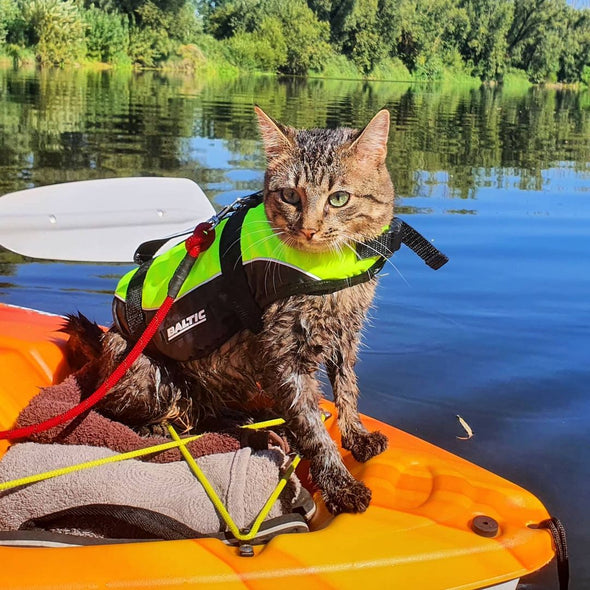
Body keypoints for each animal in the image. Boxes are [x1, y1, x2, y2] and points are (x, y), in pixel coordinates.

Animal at [65, 107, 396, 520]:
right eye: (290, 195)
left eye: (338, 198)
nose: (308, 229)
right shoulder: (284, 350)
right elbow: (313, 427)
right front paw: (339, 483)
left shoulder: (345, 336)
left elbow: (347, 389)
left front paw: (356, 435)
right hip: (147, 370)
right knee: (121, 408)